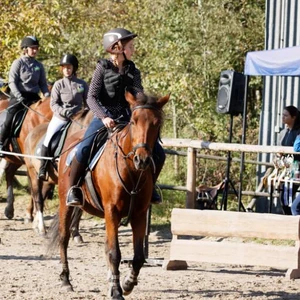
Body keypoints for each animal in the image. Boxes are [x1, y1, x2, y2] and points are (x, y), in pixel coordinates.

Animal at [47, 92, 169, 298]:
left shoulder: (139, 214)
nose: (142, 159)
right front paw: (116, 290)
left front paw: (127, 284)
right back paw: (65, 279)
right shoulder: (112, 211)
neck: (131, 170)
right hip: (66, 203)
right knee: (64, 237)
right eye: (134, 121)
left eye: (156, 123)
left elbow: (138, 256)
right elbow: (114, 253)